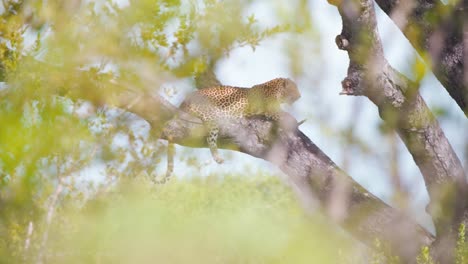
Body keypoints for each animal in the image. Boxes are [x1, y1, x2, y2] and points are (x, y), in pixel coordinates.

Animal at [159, 77, 302, 183]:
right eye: (294, 89)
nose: (300, 96)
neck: (276, 90)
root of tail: (183, 103)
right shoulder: (271, 110)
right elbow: (284, 114)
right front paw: (293, 120)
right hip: (213, 115)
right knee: (210, 137)